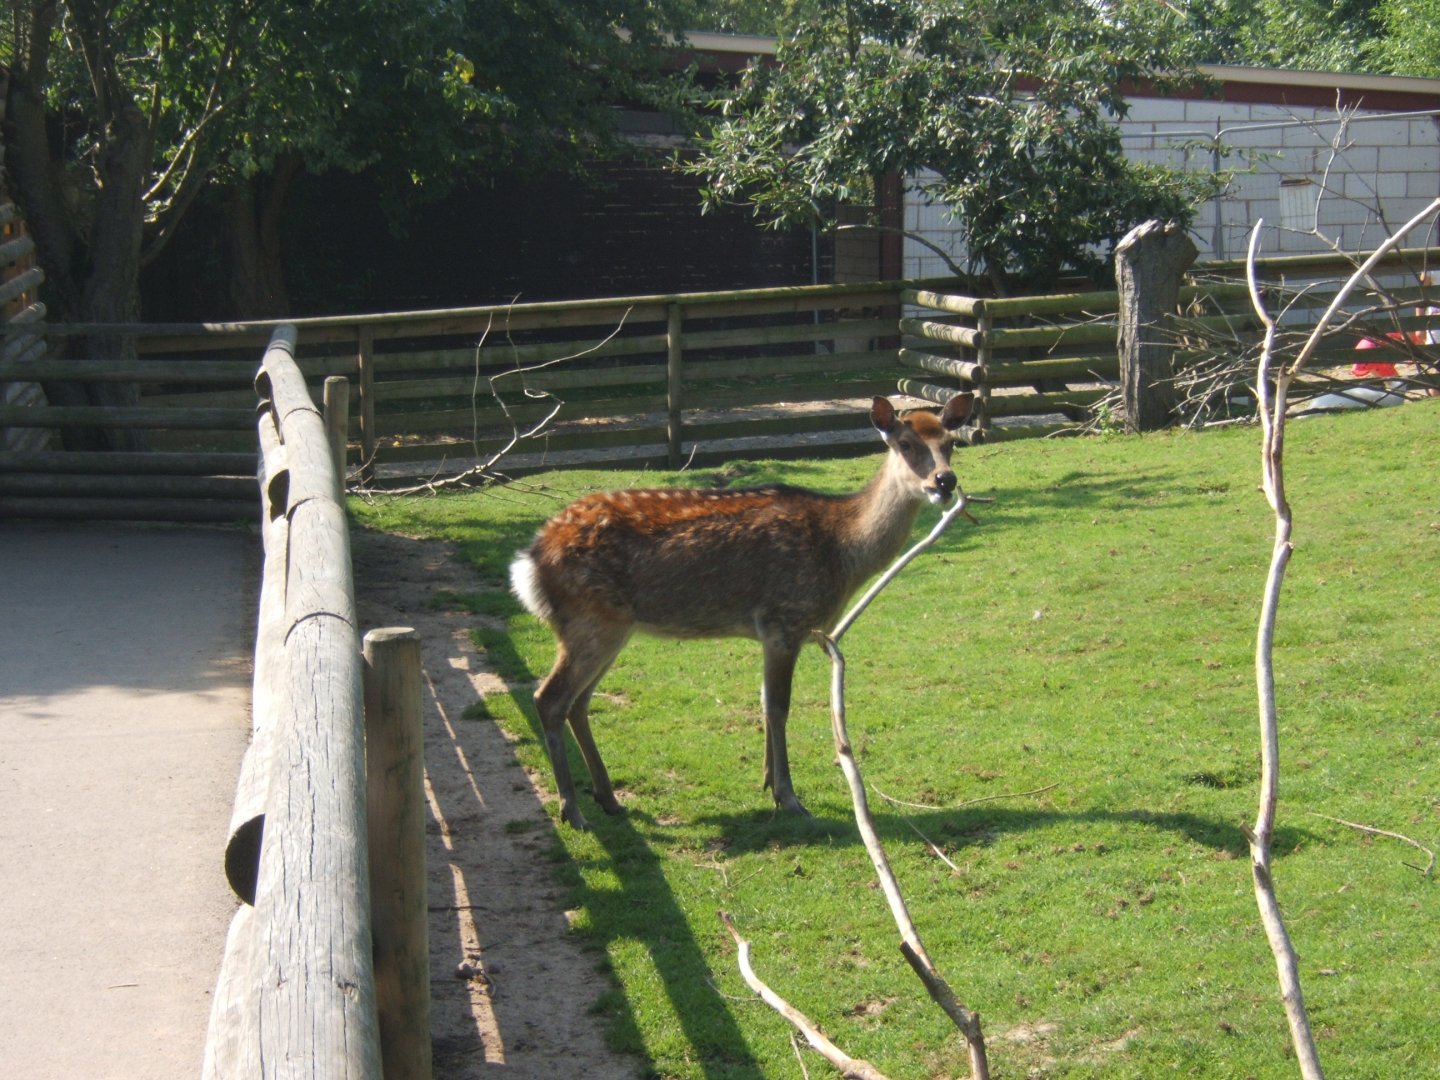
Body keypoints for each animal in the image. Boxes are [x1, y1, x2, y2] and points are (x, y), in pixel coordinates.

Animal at [509, 394, 973, 829]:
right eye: (905, 443)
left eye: (951, 442)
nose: (944, 480)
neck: (841, 550)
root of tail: (530, 561)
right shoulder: (783, 621)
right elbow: (779, 706)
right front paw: (788, 796)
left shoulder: (771, 632)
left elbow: (765, 701)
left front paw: (767, 782)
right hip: (591, 621)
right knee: (549, 698)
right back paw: (573, 810)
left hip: (610, 628)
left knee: (579, 702)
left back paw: (608, 799)